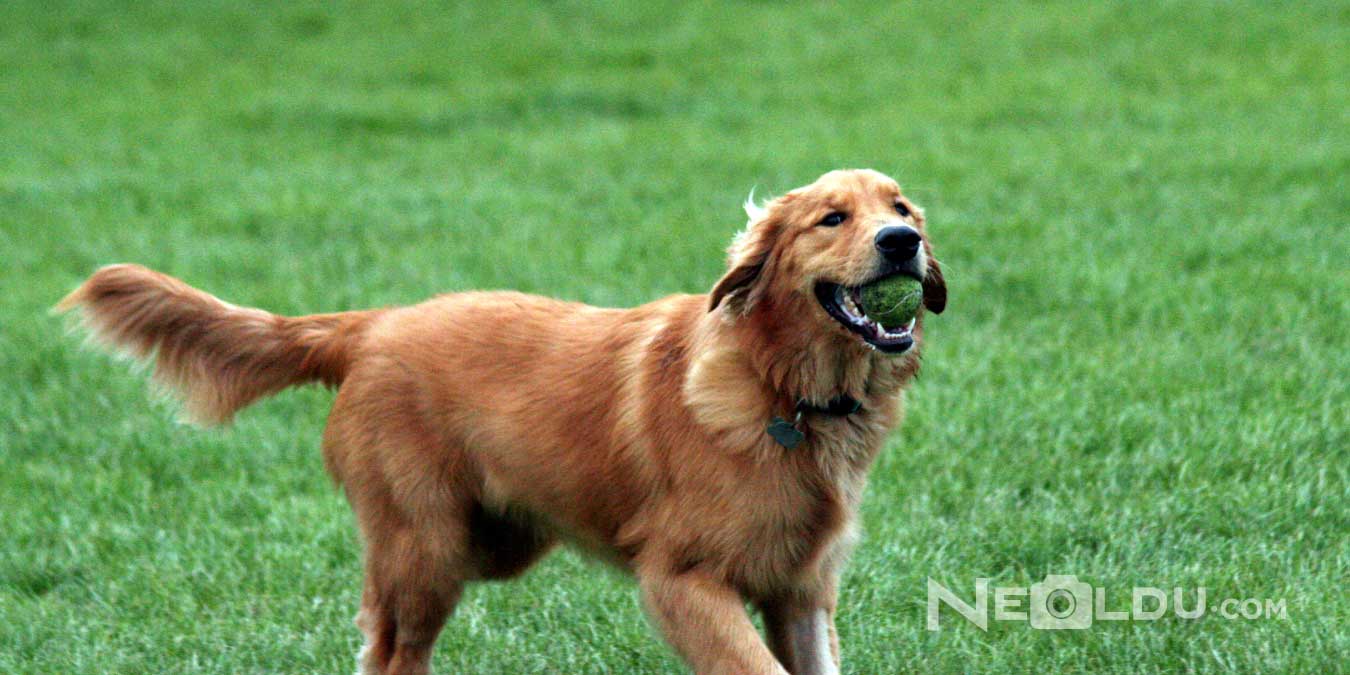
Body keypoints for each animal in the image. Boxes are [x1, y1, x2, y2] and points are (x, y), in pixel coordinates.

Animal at [60, 170, 950, 675]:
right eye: (832, 218)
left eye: (902, 208)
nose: (901, 240)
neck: (784, 391)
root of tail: (371, 325)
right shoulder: (682, 580)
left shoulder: (802, 592)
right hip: (425, 546)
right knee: (390, 648)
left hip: (495, 541)